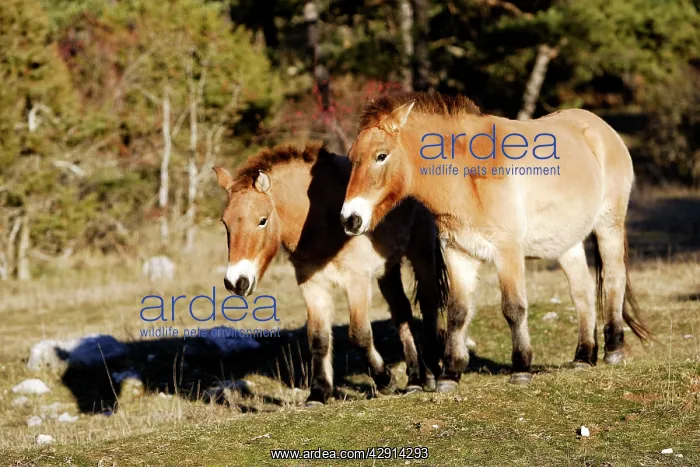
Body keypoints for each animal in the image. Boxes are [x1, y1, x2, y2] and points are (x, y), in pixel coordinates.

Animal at [213, 142, 450, 405]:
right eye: (225, 223)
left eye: (262, 220)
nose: (236, 282)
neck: (321, 220)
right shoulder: (312, 286)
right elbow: (318, 338)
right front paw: (318, 392)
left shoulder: (357, 282)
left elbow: (359, 334)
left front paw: (385, 380)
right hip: (388, 269)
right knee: (402, 312)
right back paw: (415, 379)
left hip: (421, 253)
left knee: (428, 306)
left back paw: (434, 370)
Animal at [339, 91, 652, 390]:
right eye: (352, 157)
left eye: (381, 156)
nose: (350, 219)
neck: (469, 176)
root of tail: (600, 128)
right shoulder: (458, 253)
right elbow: (457, 312)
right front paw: (450, 374)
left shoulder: (507, 251)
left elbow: (513, 308)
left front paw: (521, 369)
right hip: (567, 243)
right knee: (582, 291)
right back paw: (584, 357)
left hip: (608, 226)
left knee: (613, 280)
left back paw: (613, 350)